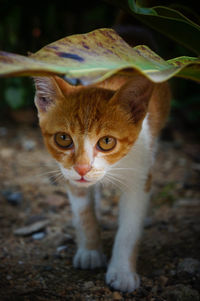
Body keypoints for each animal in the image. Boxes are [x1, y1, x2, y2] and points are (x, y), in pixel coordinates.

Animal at [33, 72, 170, 290]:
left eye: (106, 142)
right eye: (63, 138)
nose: (82, 168)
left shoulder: (140, 179)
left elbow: (129, 228)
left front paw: (122, 271)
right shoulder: (70, 175)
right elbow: (84, 212)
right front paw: (90, 251)